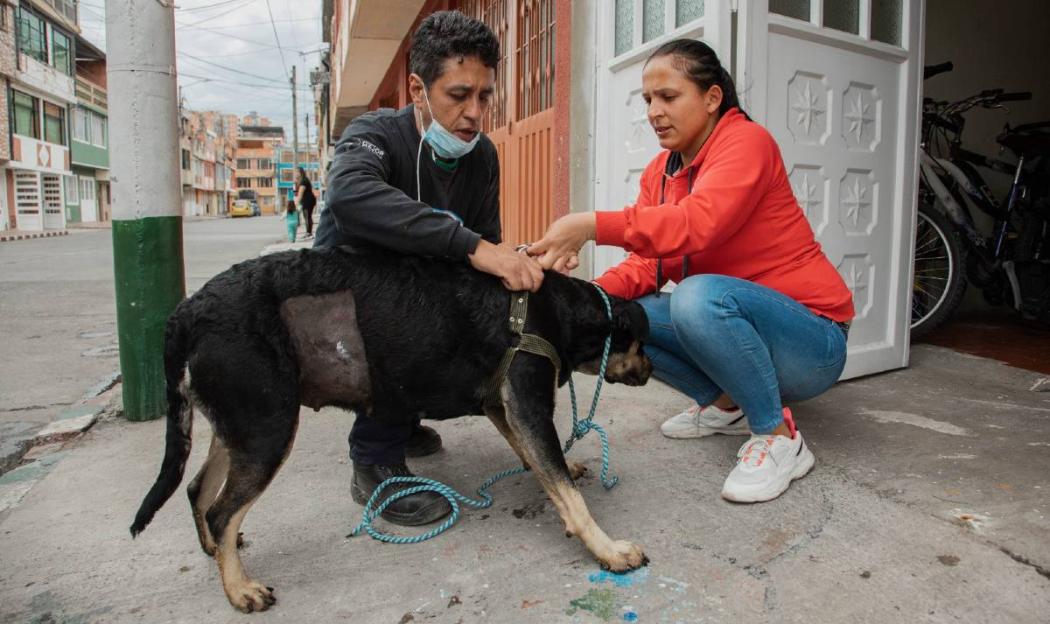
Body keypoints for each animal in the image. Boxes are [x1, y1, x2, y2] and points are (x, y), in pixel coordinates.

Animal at [128, 245, 651, 609]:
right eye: (643, 344)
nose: (649, 371)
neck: (559, 310)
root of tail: (187, 311)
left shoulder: (506, 406)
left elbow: (541, 462)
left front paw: (566, 469)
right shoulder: (525, 403)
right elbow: (567, 493)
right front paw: (608, 549)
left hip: (240, 424)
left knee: (197, 489)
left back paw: (217, 552)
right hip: (267, 428)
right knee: (221, 508)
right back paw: (239, 588)